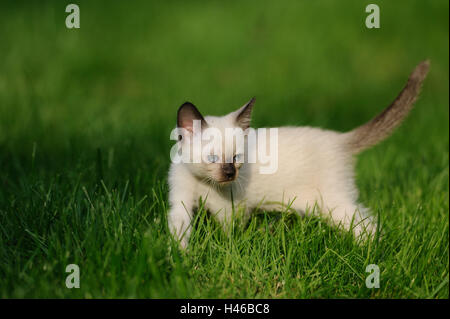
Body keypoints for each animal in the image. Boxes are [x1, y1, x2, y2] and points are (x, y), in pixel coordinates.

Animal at [168, 60, 428, 250]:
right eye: (212, 159)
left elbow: (229, 237)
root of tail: (341, 138)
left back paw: (374, 254)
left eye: (237, 158)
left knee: (369, 226)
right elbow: (179, 231)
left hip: (333, 204)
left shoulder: (230, 210)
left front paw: (223, 250)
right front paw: (181, 259)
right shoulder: (181, 201)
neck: (203, 183)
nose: (231, 174)